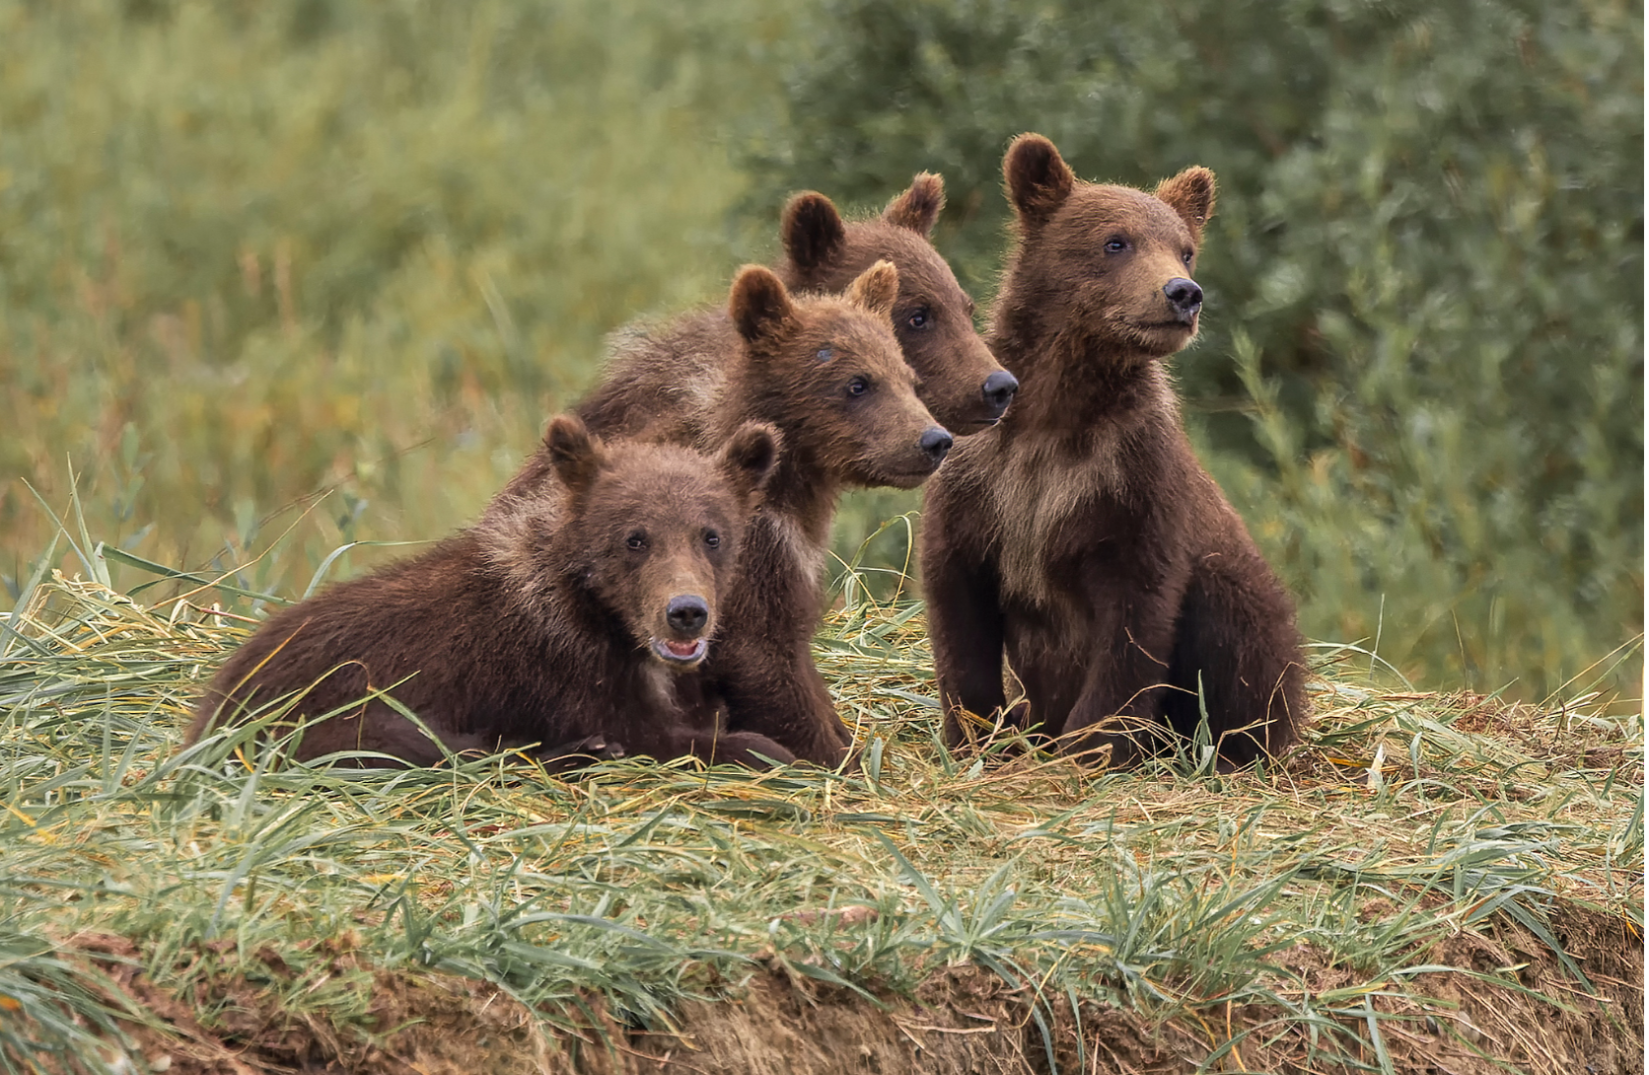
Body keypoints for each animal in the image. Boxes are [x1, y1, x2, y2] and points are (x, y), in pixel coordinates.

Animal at [186, 415, 794, 769]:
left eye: (711, 535)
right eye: (635, 538)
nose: (686, 612)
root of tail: (210, 709)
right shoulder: (560, 672)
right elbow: (657, 734)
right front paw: (770, 750)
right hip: (309, 713)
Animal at [491, 261, 950, 766]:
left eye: (908, 378)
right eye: (857, 383)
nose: (934, 440)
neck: (788, 483)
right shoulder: (740, 556)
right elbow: (763, 660)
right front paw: (834, 756)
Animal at [919, 133, 1307, 769]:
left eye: (1186, 250)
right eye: (1115, 241)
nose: (1183, 293)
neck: (1059, 414)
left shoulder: (1129, 481)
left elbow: (1134, 622)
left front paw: (1089, 747)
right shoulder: (982, 484)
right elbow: (959, 605)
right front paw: (979, 734)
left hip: (1239, 602)